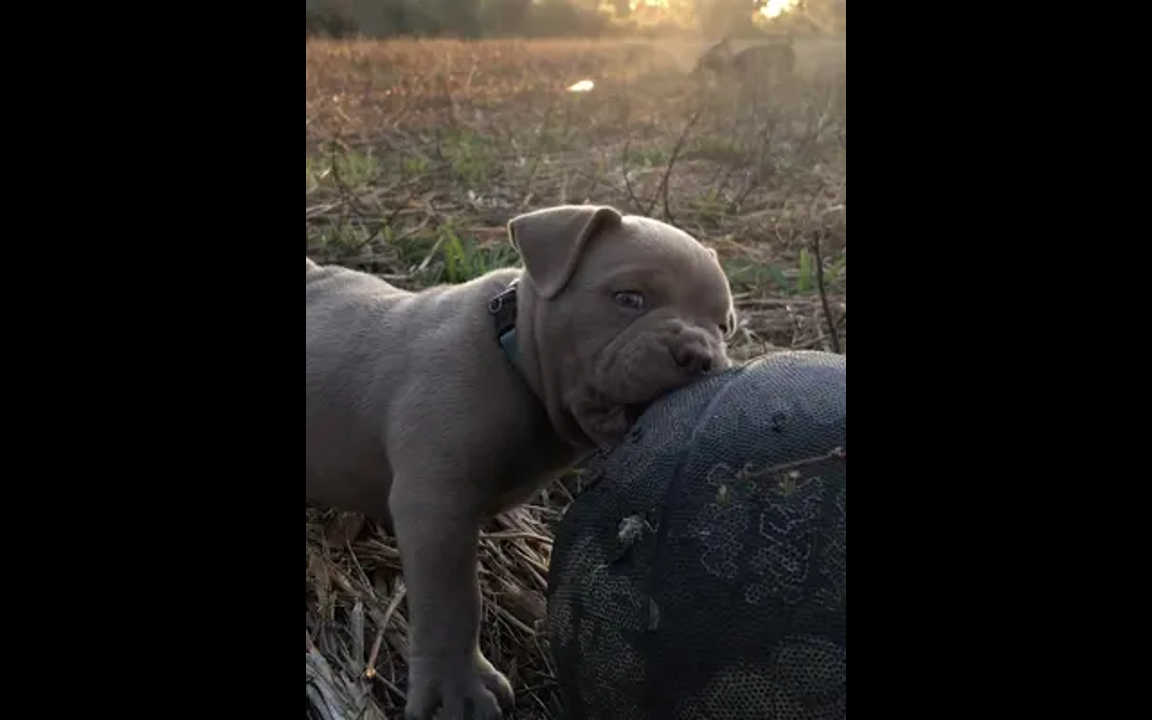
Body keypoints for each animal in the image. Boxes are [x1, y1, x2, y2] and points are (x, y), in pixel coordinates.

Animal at [306, 205, 735, 720]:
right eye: (628, 298)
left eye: (724, 326)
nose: (700, 355)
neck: (515, 352)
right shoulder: (436, 507)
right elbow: (453, 602)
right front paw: (458, 691)